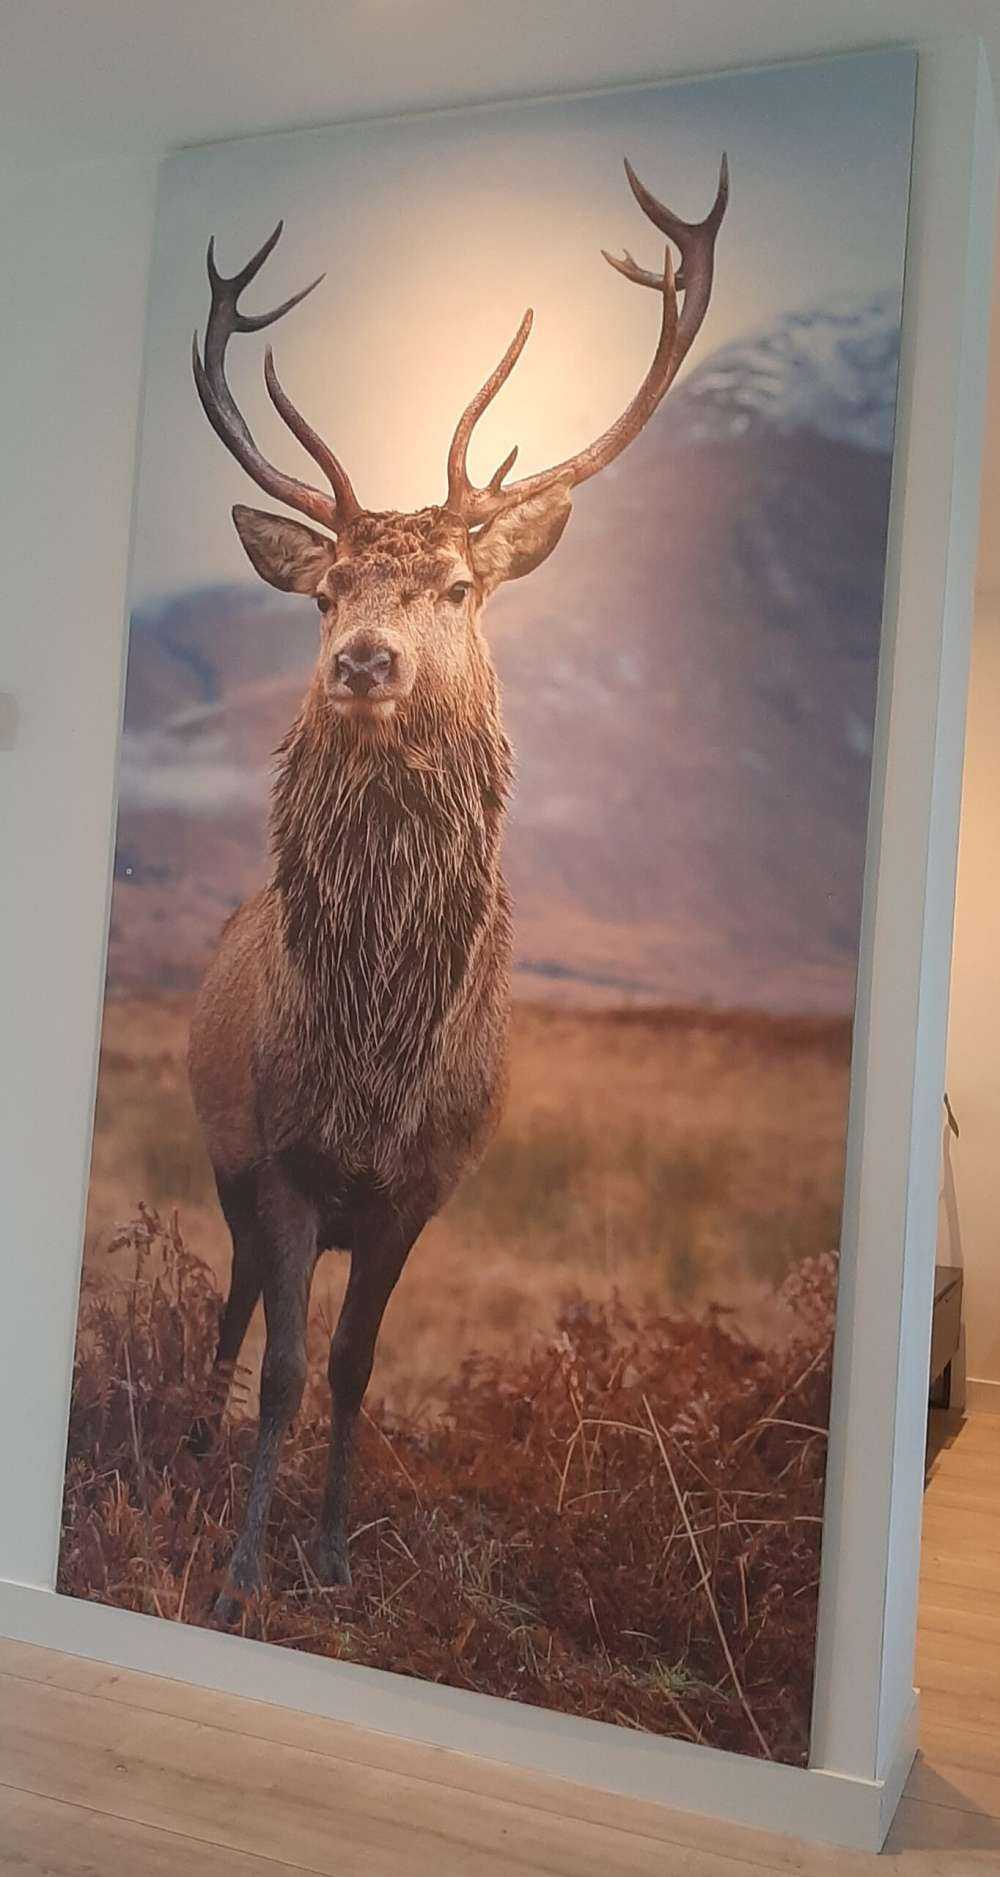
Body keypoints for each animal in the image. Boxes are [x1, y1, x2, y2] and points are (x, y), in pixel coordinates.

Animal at [187, 155, 728, 1624]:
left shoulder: (421, 1188)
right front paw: (240, 1571)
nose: (364, 661)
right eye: (324, 593)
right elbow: (284, 1368)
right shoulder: (283, 1157)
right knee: (232, 1309)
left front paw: (328, 1560)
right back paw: (189, 1459)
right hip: (222, 1155)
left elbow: (357, 1371)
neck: (378, 1061)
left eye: (455, 584)